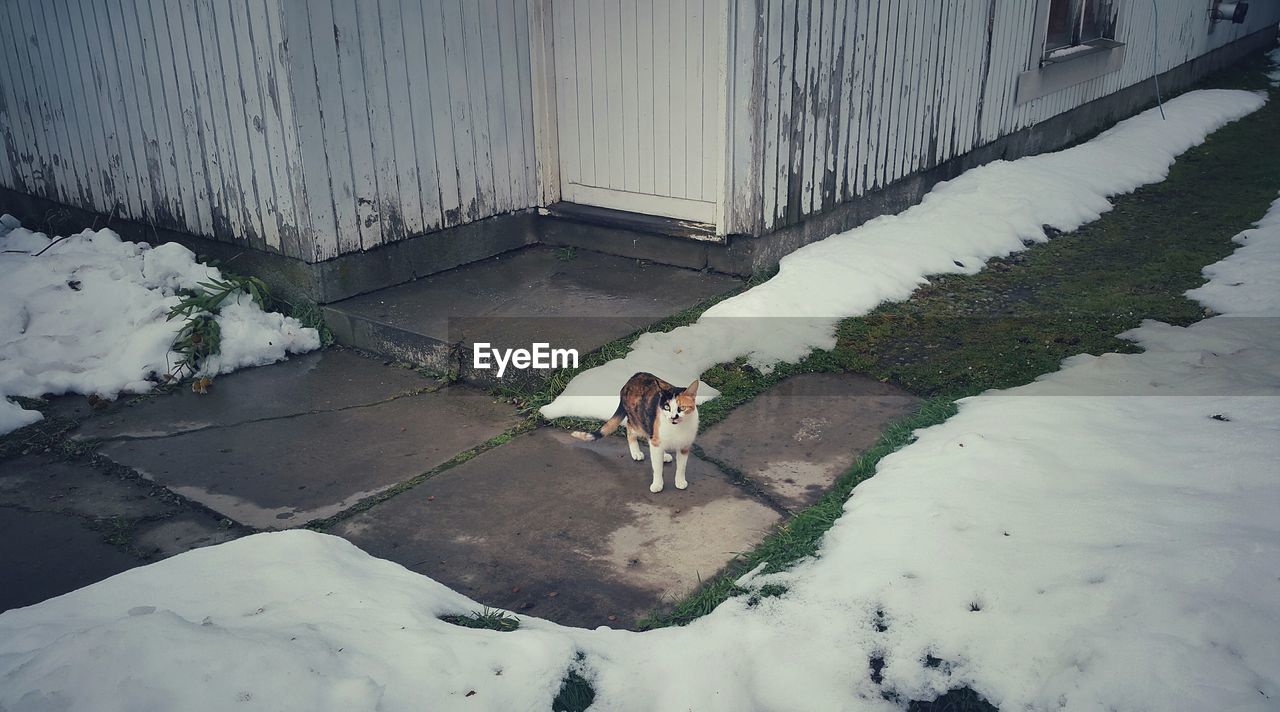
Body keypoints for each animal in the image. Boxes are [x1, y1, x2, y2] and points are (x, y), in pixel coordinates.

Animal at [576, 373, 706, 494]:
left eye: (682, 408)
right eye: (666, 407)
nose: (673, 417)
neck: (677, 428)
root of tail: (633, 378)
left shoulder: (684, 446)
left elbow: (682, 467)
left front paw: (680, 481)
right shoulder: (656, 438)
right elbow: (657, 467)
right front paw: (657, 484)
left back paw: (663, 455)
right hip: (637, 420)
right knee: (630, 428)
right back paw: (636, 452)